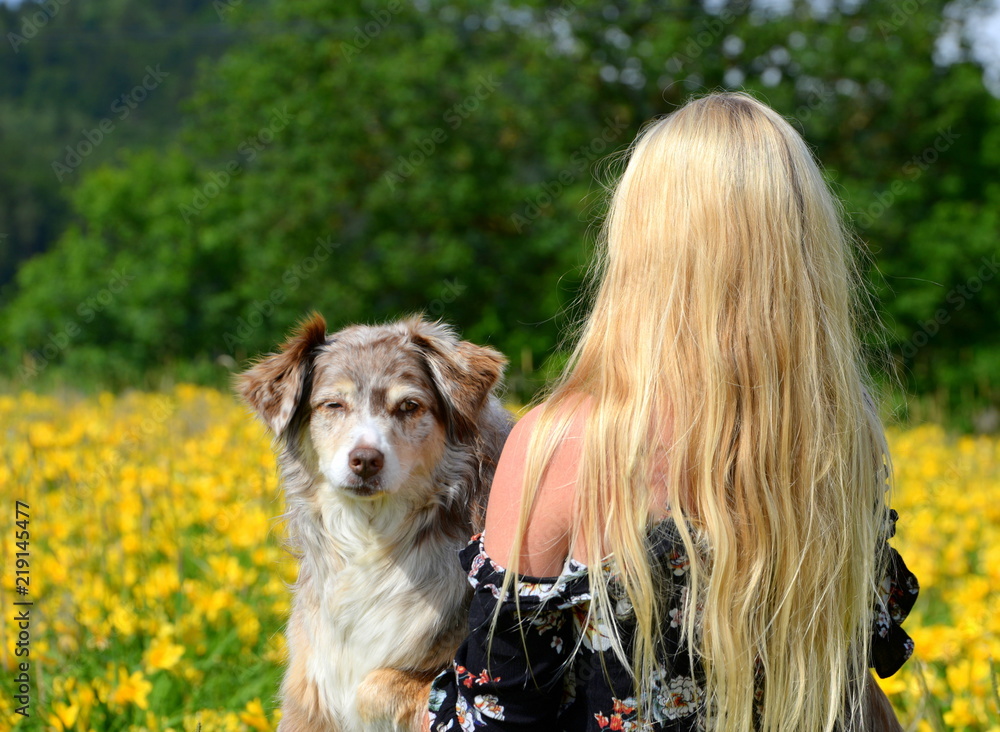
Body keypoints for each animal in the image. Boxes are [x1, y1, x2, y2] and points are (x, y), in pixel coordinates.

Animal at [238, 314, 512, 732]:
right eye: (333, 405)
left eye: (409, 406)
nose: (365, 460)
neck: (373, 535)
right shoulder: (306, 684)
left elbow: (374, 685)